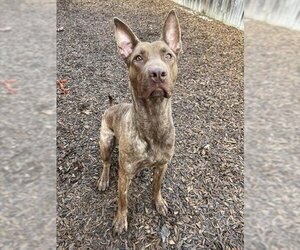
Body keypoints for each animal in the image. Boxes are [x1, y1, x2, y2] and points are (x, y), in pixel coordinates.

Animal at [98, 10, 182, 234]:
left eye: (168, 55)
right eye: (138, 58)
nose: (157, 73)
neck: (153, 120)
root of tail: (111, 108)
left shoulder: (162, 165)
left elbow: (157, 187)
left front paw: (158, 202)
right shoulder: (124, 175)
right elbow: (122, 200)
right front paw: (121, 219)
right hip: (106, 141)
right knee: (107, 163)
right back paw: (104, 179)